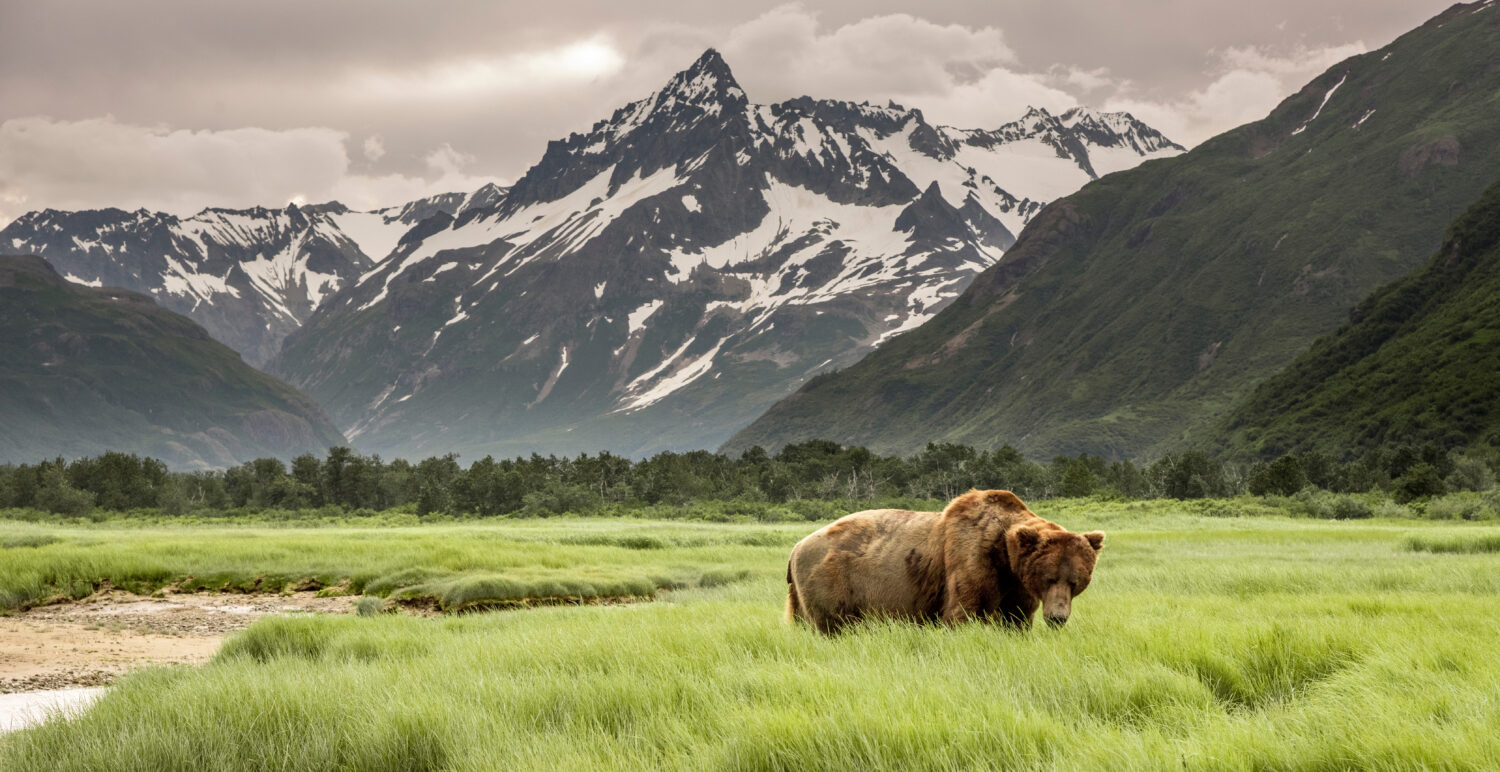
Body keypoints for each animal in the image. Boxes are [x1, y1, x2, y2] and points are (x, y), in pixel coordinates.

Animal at [786, 488, 1104, 635]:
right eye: (1049, 578)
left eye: (1075, 581)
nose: (1058, 617)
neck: (1004, 555)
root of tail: (796, 547)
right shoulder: (971, 558)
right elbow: (962, 612)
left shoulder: (1015, 584)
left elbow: (1016, 617)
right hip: (833, 580)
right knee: (832, 624)